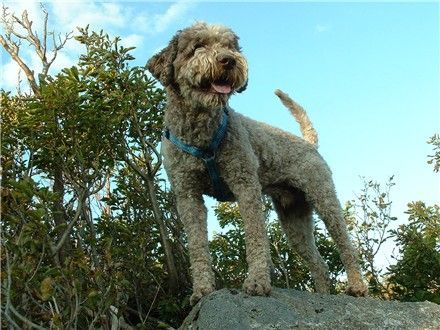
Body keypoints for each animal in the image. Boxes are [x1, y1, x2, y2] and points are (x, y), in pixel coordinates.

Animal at [148, 21, 368, 304]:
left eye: (230, 46)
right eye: (197, 46)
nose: (228, 60)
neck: (201, 132)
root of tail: (308, 142)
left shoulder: (245, 184)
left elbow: (255, 236)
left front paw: (257, 282)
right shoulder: (188, 195)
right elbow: (196, 244)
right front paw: (202, 290)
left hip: (324, 197)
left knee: (345, 243)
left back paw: (358, 286)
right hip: (294, 218)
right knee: (319, 264)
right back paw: (322, 296)